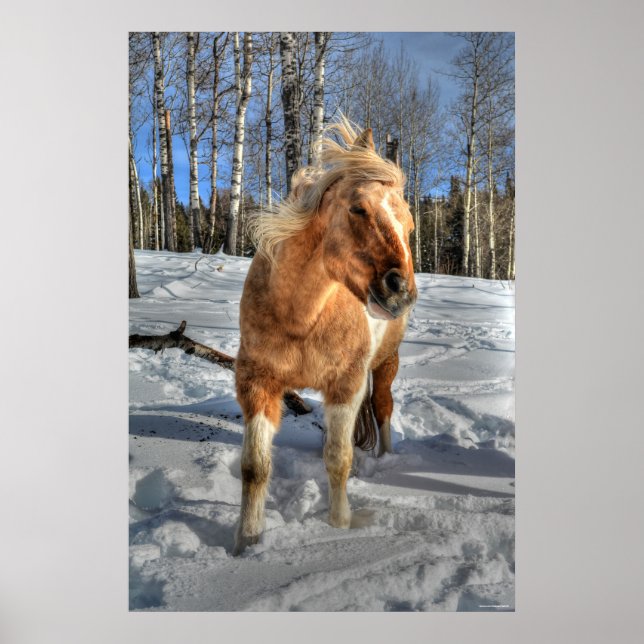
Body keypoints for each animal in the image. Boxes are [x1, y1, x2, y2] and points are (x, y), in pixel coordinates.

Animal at [233, 121, 417, 555]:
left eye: (410, 226)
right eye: (358, 208)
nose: (400, 291)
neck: (302, 317)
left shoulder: (346, 386)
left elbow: (338, 460)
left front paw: (339, 527)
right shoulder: (257, 383)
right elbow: (255, 467)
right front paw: (247, 542)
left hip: (386, 364)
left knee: (382, 408)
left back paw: (385, 458)